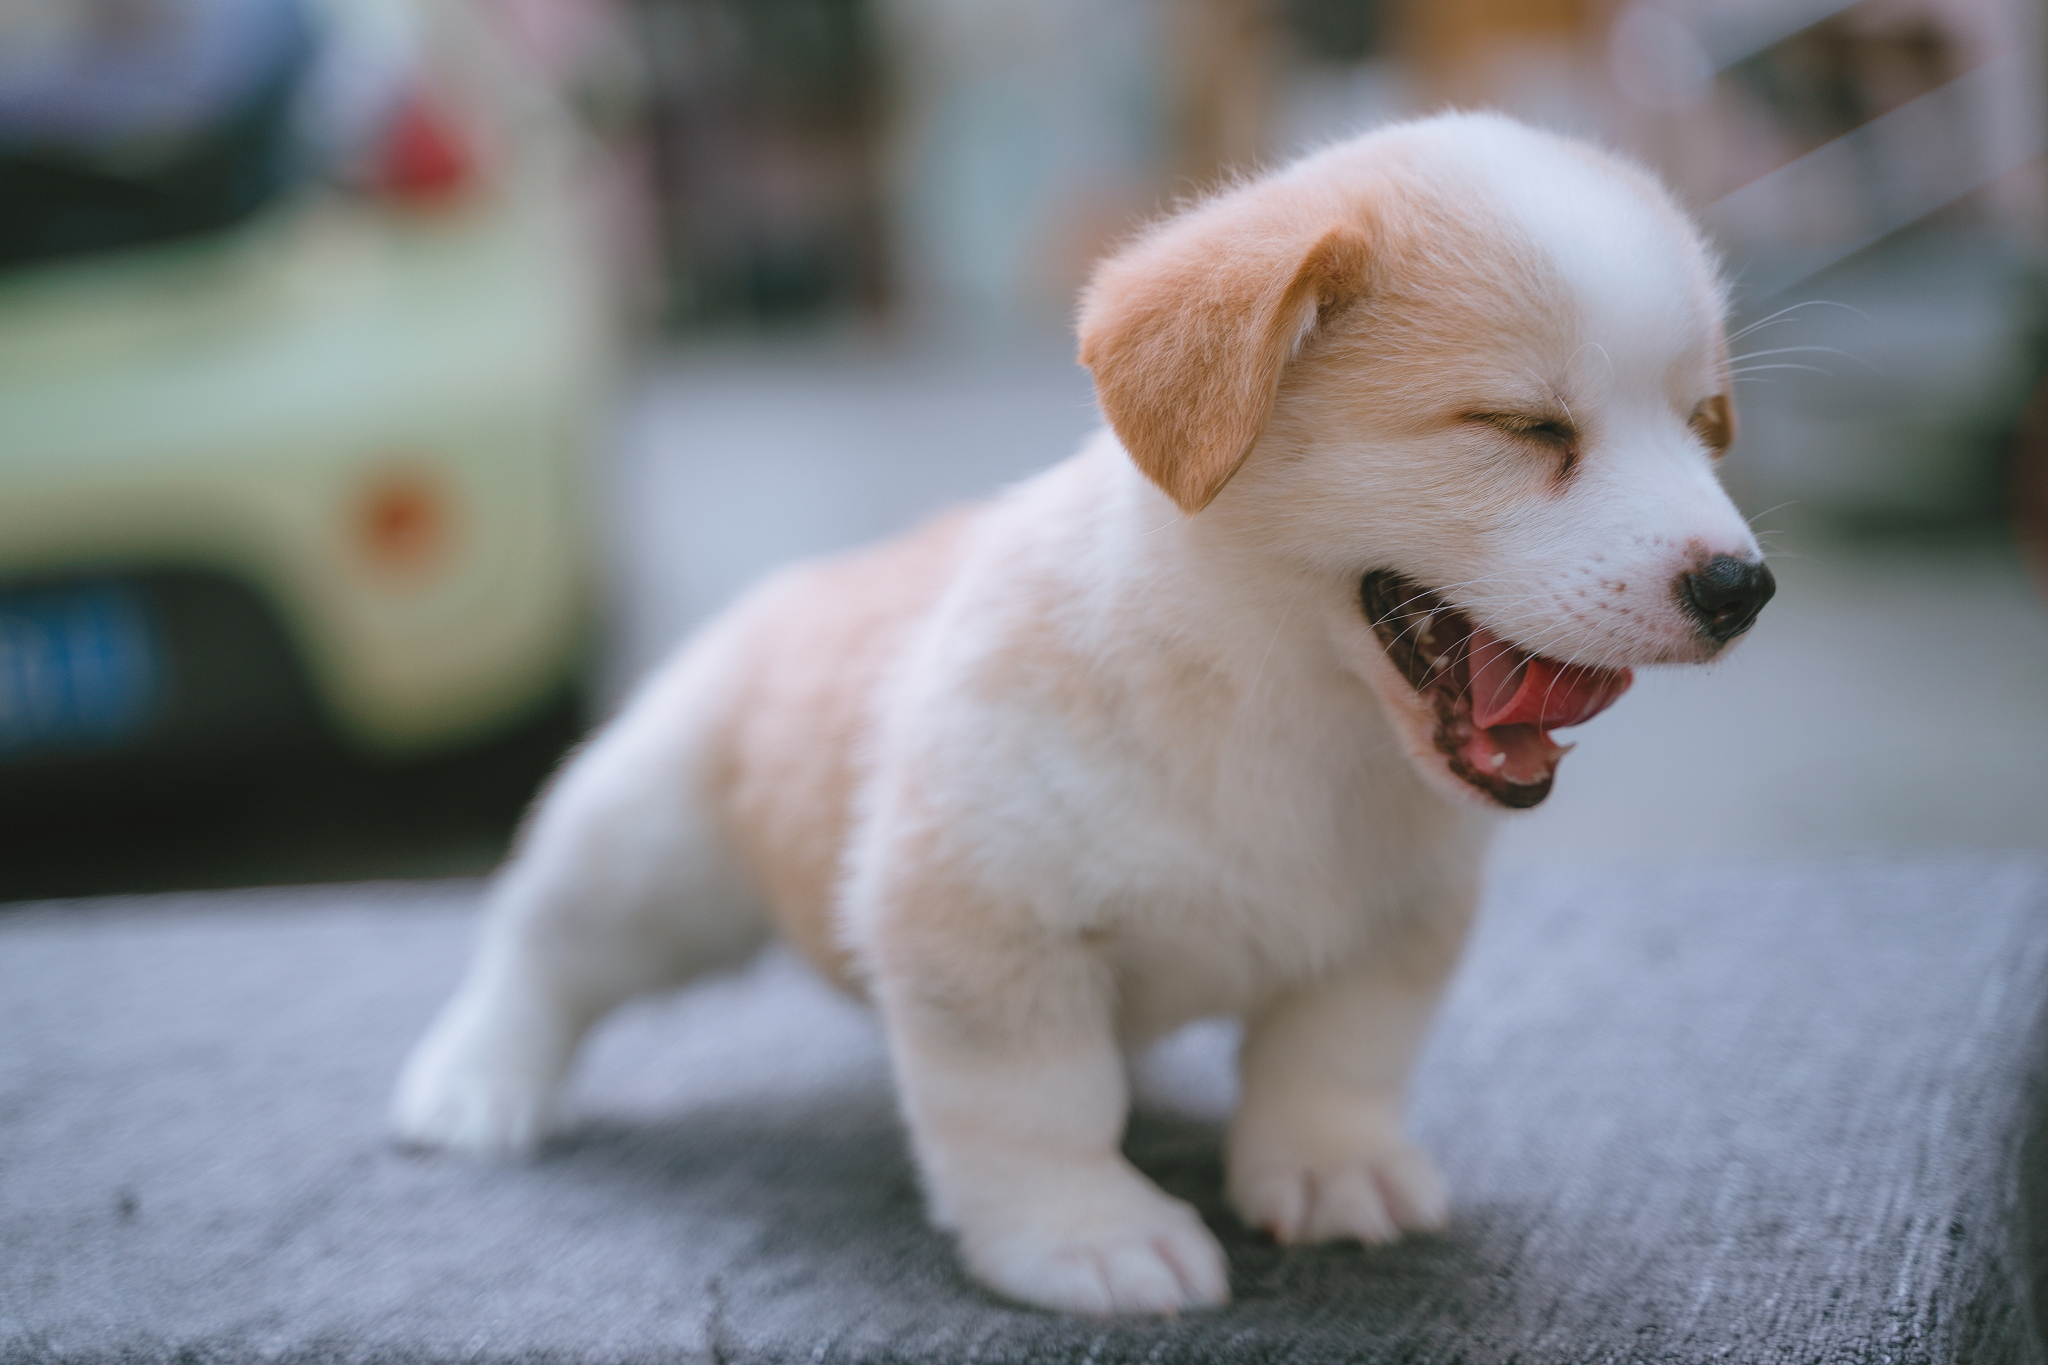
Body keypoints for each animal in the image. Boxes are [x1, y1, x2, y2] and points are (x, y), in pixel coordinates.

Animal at [395, 114, 1777, 1309]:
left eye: (1699, 424)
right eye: (1524, 426)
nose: (1741, 589)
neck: (1282, 706)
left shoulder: (1393, 932)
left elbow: (1333, 1062)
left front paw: (1330, 1169)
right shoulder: (982, 932)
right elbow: (1037, 1113)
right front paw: (1087, 1238)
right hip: (646, 858)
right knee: (541, 950)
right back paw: (474, 1081)